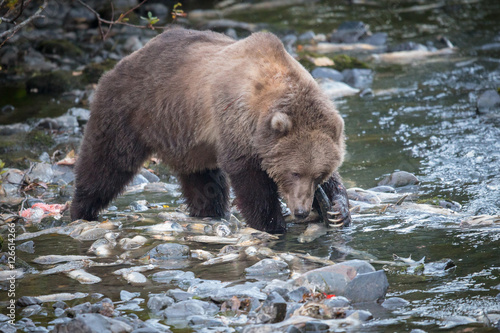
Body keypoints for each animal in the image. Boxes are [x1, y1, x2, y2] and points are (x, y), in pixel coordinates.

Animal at [71, 27, 352, 231]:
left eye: (319, 175)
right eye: (294, 172)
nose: (301, 210)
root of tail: (125, 60)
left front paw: (338, 211)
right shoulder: (235, 121)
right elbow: (249, 179)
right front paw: (272, 223)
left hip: (191, 142)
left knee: (204, 182)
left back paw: (209, 213)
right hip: (131, 112)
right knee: (105, 163)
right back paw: (80, 209)